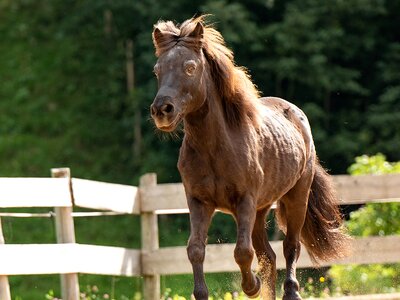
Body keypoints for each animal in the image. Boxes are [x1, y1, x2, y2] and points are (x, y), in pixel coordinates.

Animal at [150, 16, 350, 300]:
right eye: (157, 70)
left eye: (190, 67)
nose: (161, 110)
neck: (215, 148)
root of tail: (297, 114)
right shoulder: (199, 202)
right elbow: (196, 249)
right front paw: (204, 292)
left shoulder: (244, 200)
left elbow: (242, 251)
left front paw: (252, 286)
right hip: (260, 209)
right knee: (269, 254)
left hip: (295, 197)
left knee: (290, 245)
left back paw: (291, 291)